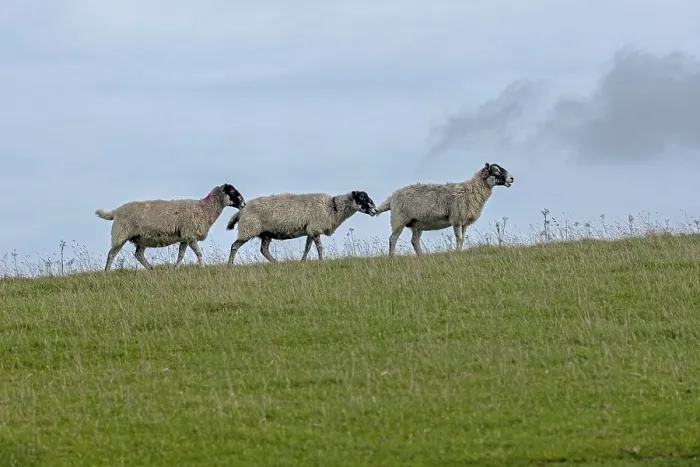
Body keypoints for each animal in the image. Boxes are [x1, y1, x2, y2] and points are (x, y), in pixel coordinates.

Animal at [95, 183, 245, 271]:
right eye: (232, 191)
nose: (243, 204)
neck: (204, 209)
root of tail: (116, 211)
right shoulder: (190, 235)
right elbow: (199, 253)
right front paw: (202, 267)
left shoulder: (185, 237)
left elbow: (181, 254)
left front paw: (176, 268)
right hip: (120, 234)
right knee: (112, 253)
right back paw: (107, 271)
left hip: (141, 238)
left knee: (138, 254)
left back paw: (151, 269)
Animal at [225, 190, 378, 265]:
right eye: (361, 198)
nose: (375, 211)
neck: (333, 207)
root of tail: (242, 211)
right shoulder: (315, 228)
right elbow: (319, 248)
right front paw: (322, 261)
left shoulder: (310, 230)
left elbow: (307, 247)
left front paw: (303, 262)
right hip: (248, 229)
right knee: (234, 246)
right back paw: (230, 265)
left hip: (266, 233)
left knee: (264, 250)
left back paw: (277, 263)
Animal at [375, 162, 514, 256]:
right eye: (495, 170)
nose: (512, 178)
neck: (471, 190)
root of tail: (391, 197)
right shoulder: (457, 219)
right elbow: (459, 238)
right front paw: (457, 252)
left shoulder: (464, 223)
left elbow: (462, 238)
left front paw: (460, 251)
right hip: (399, 219)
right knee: (393, 239)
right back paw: (392, 257)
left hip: (416, 223)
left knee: (414, 241)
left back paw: (422, 257)